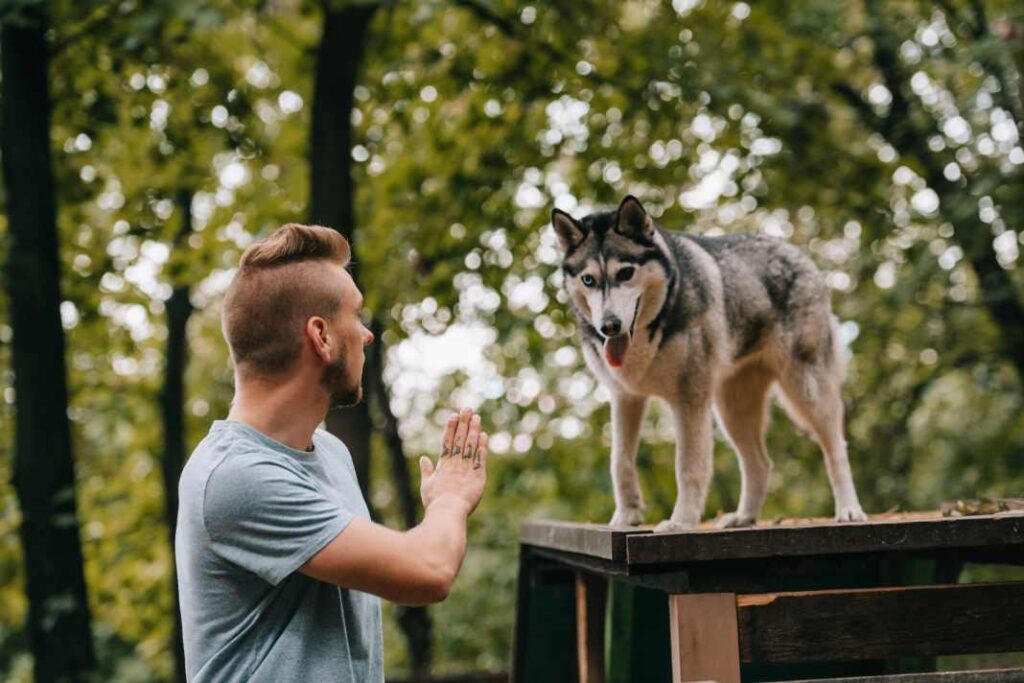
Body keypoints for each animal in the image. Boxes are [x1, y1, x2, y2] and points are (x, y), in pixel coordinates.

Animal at [548, 194, 868, 532]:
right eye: (589, 280)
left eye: (625, 273)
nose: (609, 326)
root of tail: (794, 250)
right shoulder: (625, 398)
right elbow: (620, 462)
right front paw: (626, 517)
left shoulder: (689, 399)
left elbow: (688, 466)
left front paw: (681, 522)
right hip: (732, 410)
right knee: (760, 463)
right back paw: (743, 517)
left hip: (807, 393)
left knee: (836, 450)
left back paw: (849, 510)